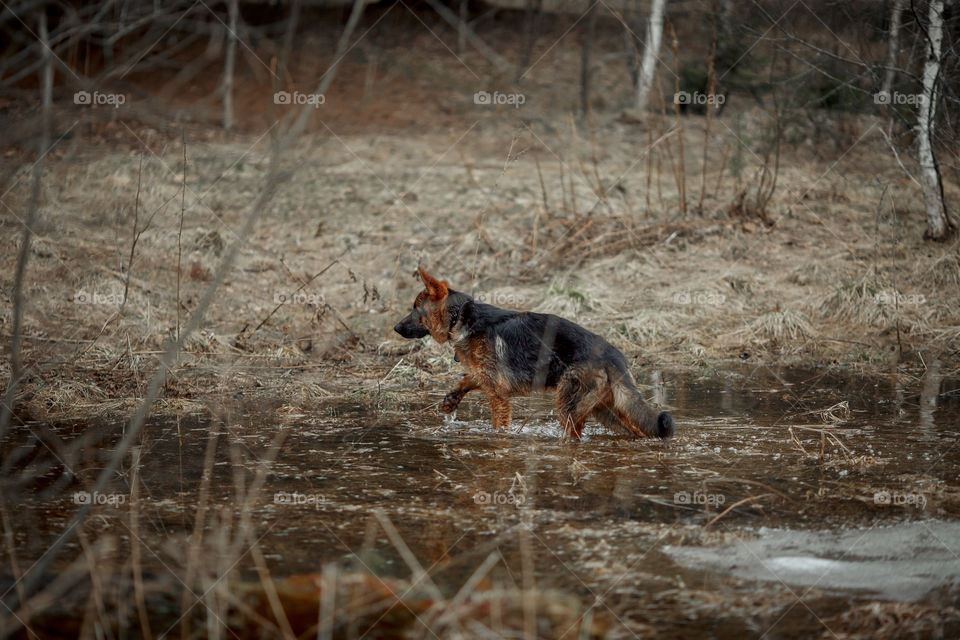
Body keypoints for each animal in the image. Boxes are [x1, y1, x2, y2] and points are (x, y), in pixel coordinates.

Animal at [392, 266, 676, 440]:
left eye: (415, 309)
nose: (395, 327)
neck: (461, 317)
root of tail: (612, 356)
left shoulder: (498, 397)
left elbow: (497, 425)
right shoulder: (488, 379)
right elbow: (468, 378)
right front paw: (452, 398)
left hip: (568, 410)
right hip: (603, 412)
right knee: (637, 432)